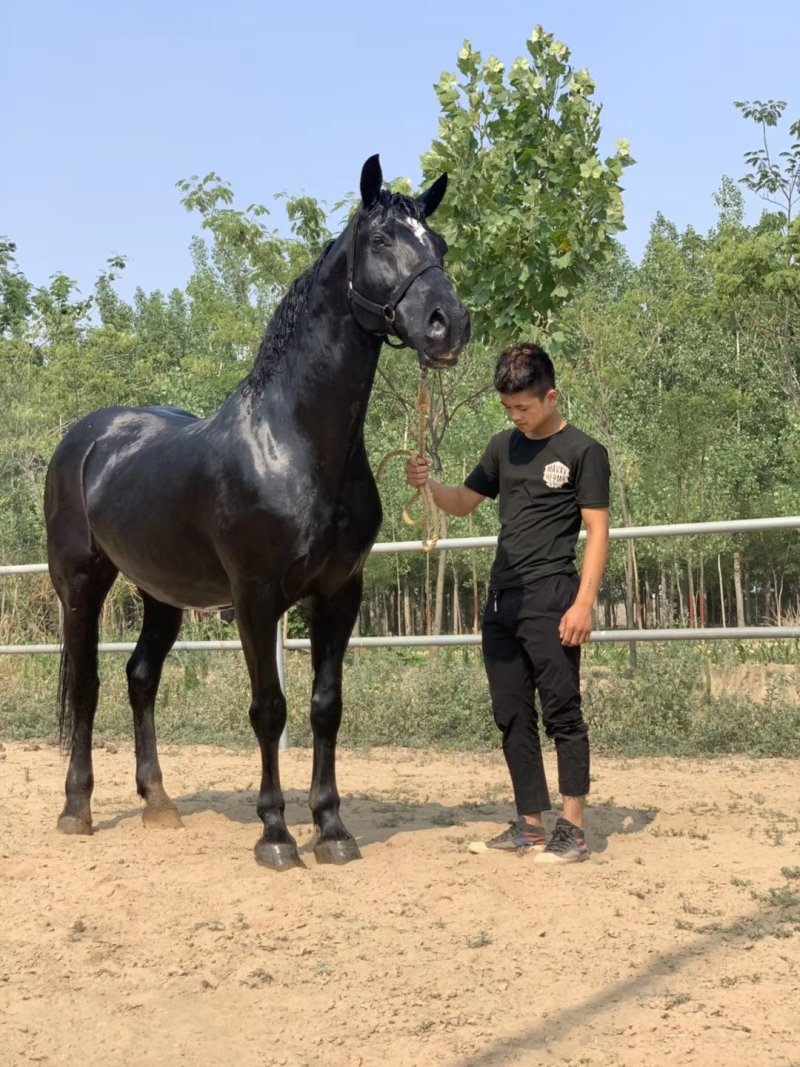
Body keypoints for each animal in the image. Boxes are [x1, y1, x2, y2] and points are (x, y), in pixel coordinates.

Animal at [44, 155, 470, 870]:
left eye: (437, 243)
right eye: (382, 239)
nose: (450, 323)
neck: (293, 443)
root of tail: (90, 437)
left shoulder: (340, 593)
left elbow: (325, 706)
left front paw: (331, 829)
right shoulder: (255, 595)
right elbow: (268, 708)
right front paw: (275, 834)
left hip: (162, 593)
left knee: (140, 678)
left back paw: (159, 804)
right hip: (80, 583)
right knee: (87, 686)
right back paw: (76, 810)